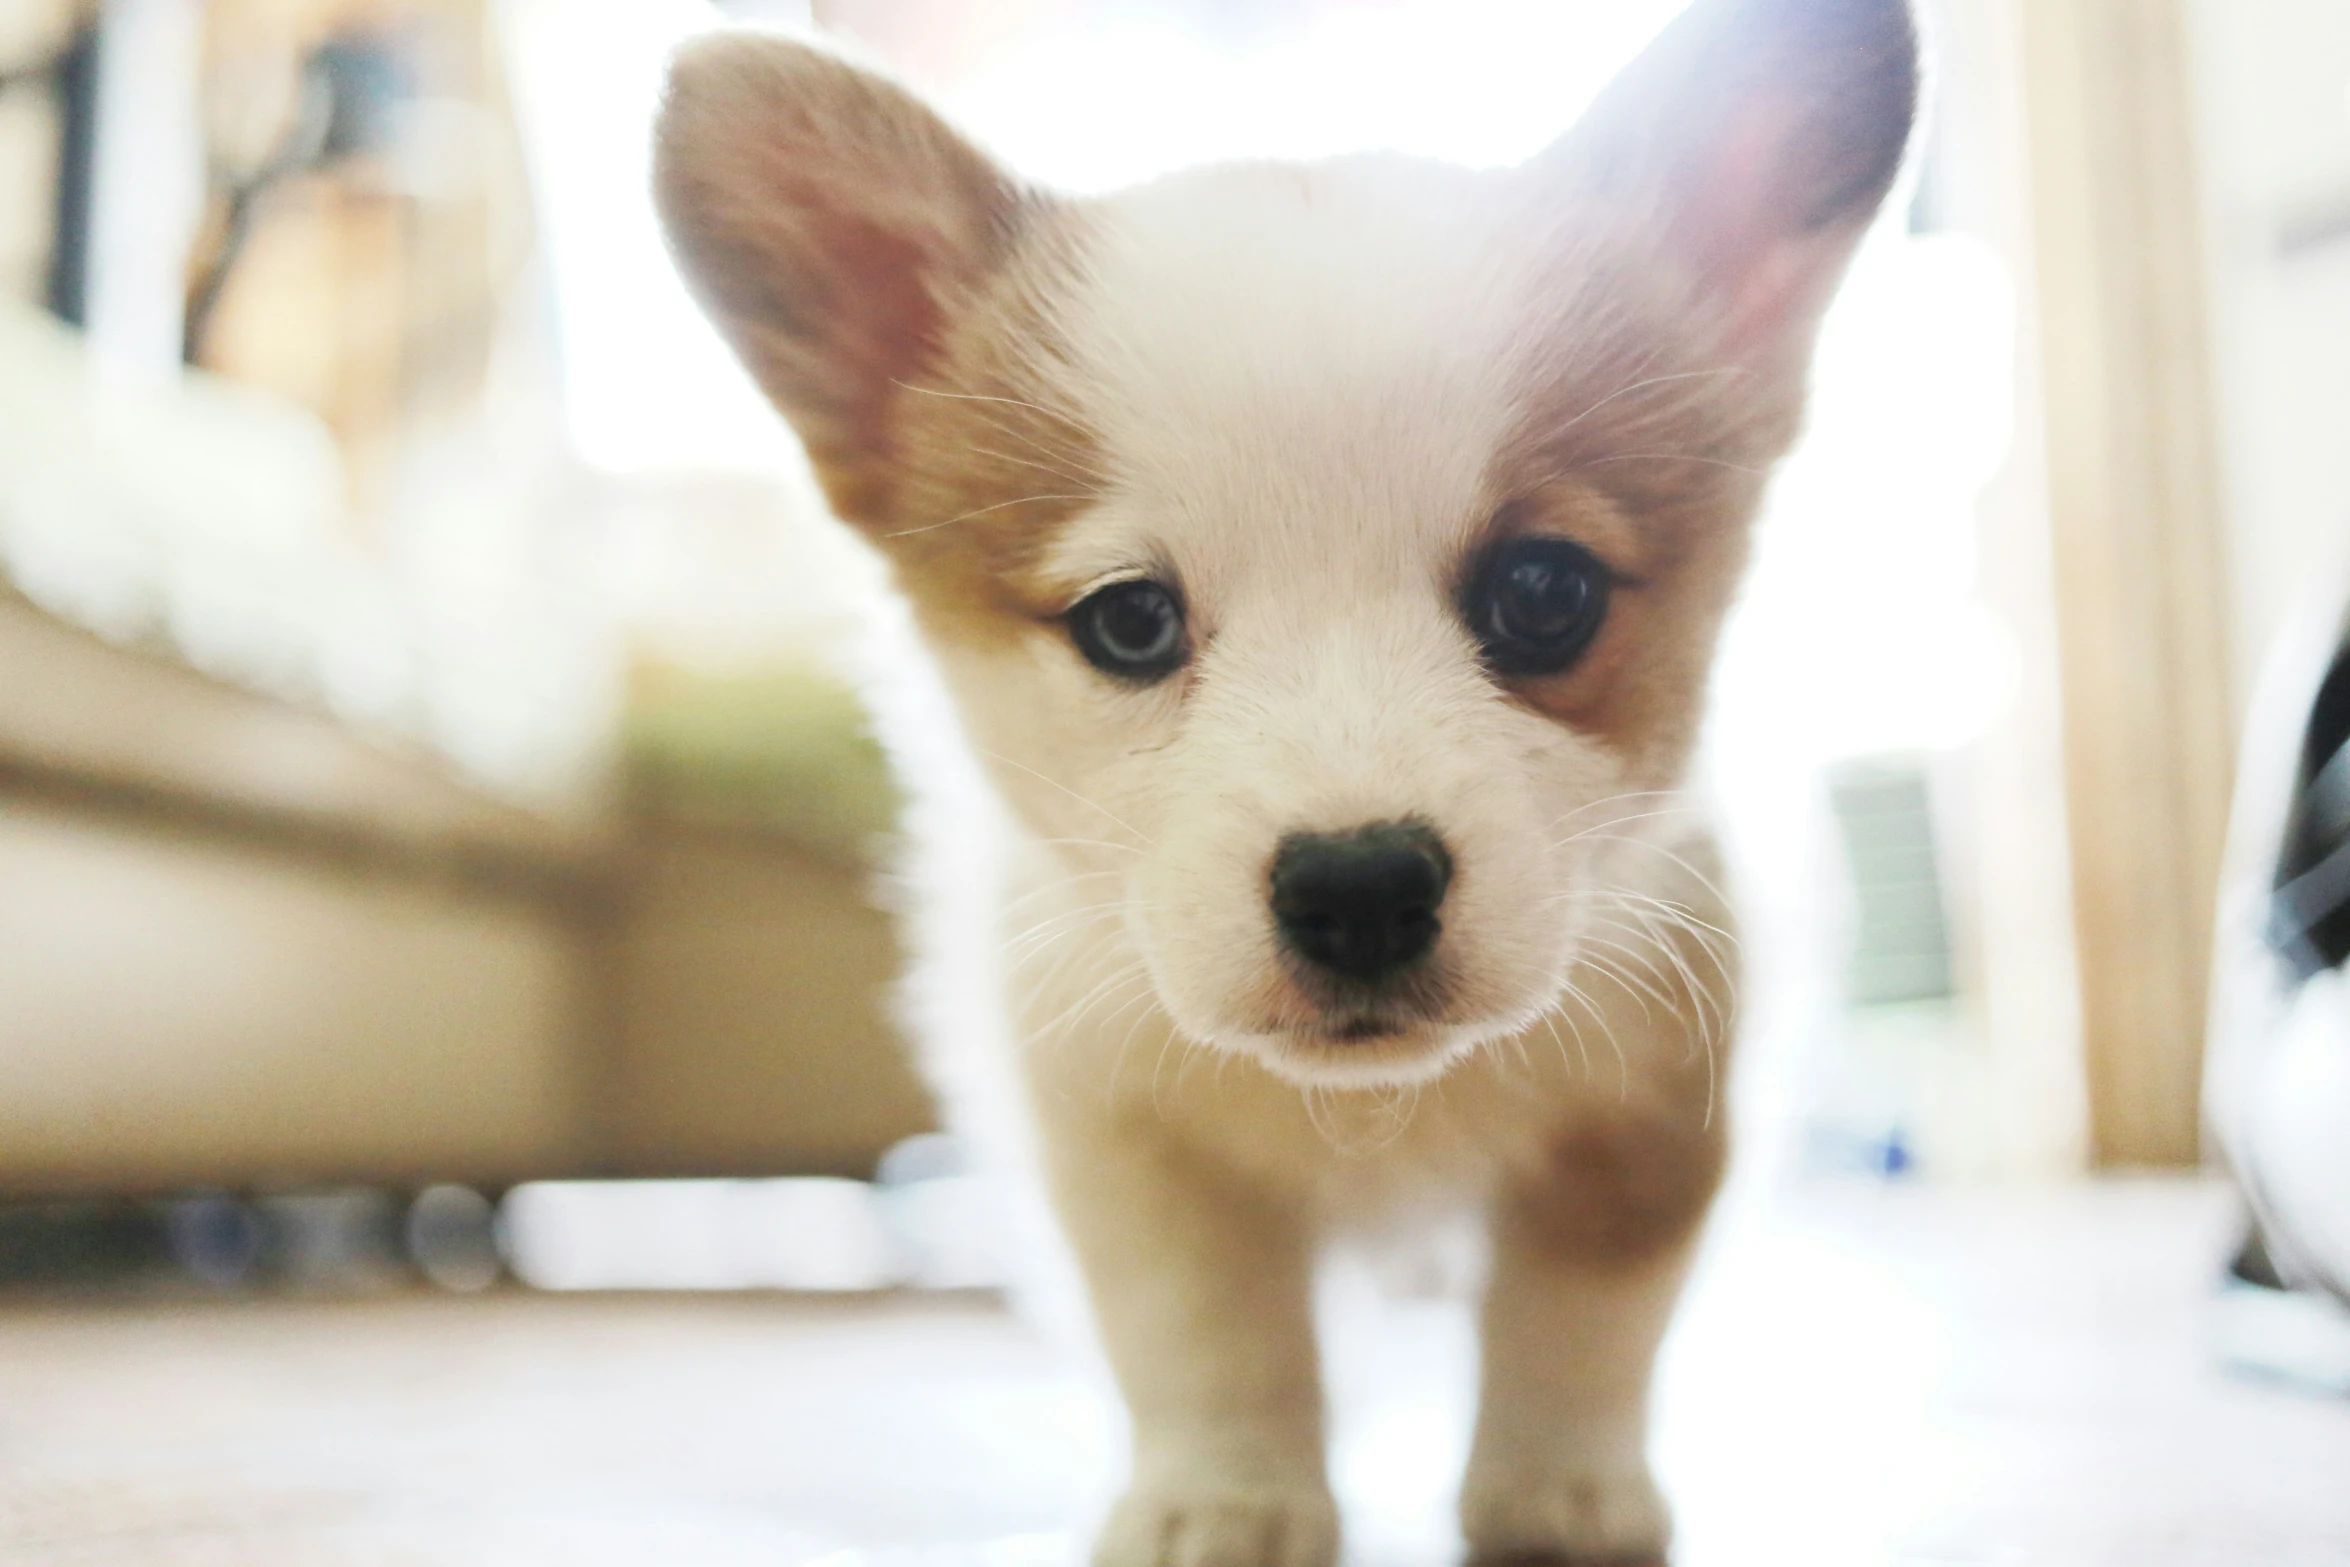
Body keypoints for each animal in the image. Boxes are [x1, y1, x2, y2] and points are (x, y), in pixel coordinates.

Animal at [653, 6, 1917, 1559]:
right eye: (1129, 622)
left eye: (1544, 593)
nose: (1360, 886)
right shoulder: (1133, 1155)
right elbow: (1209, 1340)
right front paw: (1227, 1500)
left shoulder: (1644, 1120)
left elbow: (1575, 1325)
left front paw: (1557, 1492)